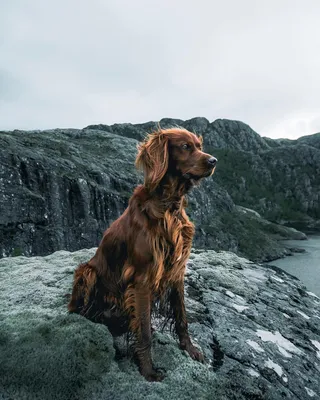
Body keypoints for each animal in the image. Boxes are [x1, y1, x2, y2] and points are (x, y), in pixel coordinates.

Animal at [68, 127, 218, 382]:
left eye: (199, 146)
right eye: (185, 147)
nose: (213, 161)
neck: (169, 206)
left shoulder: (177, 271)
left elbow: (181, 316)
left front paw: (190, 349)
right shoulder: (142, 278)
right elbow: (145, 332)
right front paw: (148, 371)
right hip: (86, 271)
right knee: (79, 310)